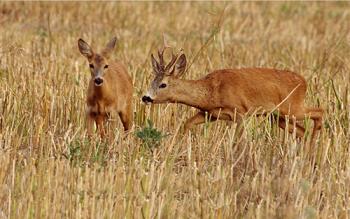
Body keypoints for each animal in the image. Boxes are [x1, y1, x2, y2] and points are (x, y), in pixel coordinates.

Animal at [142, 44, 322, 144]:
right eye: (152, 81)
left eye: (163, 84)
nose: (146, 97)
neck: (211, 91)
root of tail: (304, 82)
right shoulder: (210, 113)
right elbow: (187, 123)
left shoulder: (240, 111)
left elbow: (238, 139)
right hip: (278, 116)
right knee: (302, 131)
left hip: (292, 107)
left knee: (320, 111)